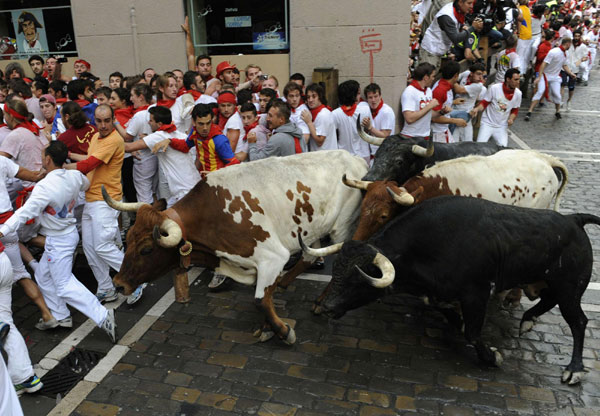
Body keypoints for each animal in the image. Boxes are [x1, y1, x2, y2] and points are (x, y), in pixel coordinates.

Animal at [102, 151, 366, 342]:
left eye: (146, 249)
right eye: (129, 238)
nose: (119, 284)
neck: (213, 213)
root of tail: (355, 158)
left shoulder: (272, 257)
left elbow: (260, 300)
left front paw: (283, 331)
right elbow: (266, 295)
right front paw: (268, 327)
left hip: (342, 226)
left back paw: (321, 301)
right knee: (309, 256)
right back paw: (287, 284)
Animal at [304, 197, 600, 386]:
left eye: (357, 280)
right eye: (335, 270)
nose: (327, 307)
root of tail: (574, 220)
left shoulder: (477, 293)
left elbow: (473, 332)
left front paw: (493, 356)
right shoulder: (442, 296)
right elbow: (458, 322)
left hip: (570, 288)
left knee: (578, 321)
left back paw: (574, 370)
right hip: (551, 284)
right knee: (549, 300)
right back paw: (528, 320)